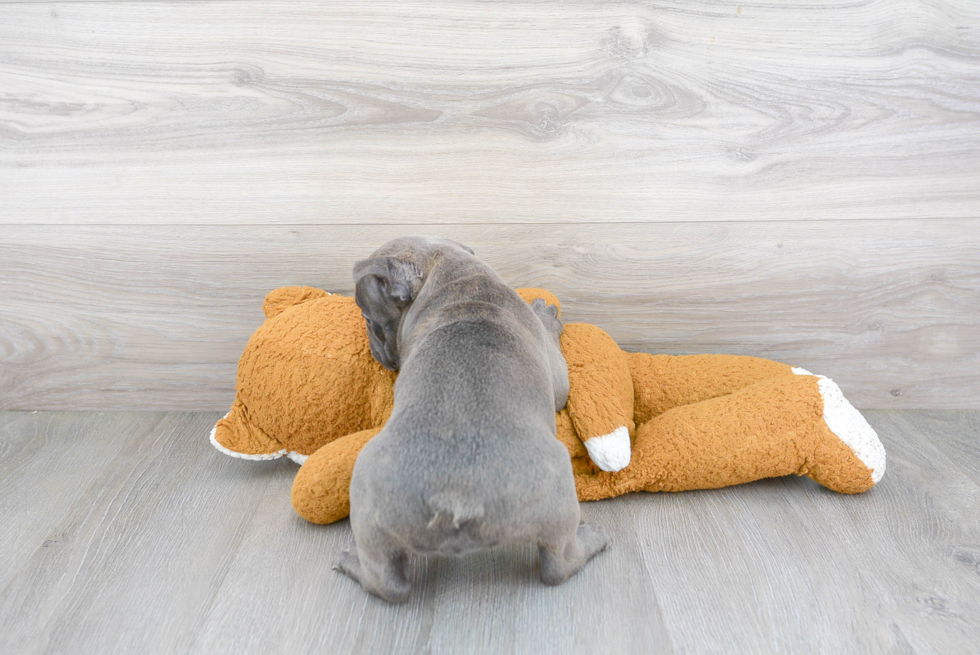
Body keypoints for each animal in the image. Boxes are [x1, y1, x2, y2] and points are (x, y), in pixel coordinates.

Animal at [340, 237, 608, 604]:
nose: (376, 351)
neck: (455, 276)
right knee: (558, 565)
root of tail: (456, 498)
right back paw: (591, 539)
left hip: (370, 508)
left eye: (368, 319)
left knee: (389, 584)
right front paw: (546, 316)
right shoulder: (557, 375)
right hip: (558, 501)